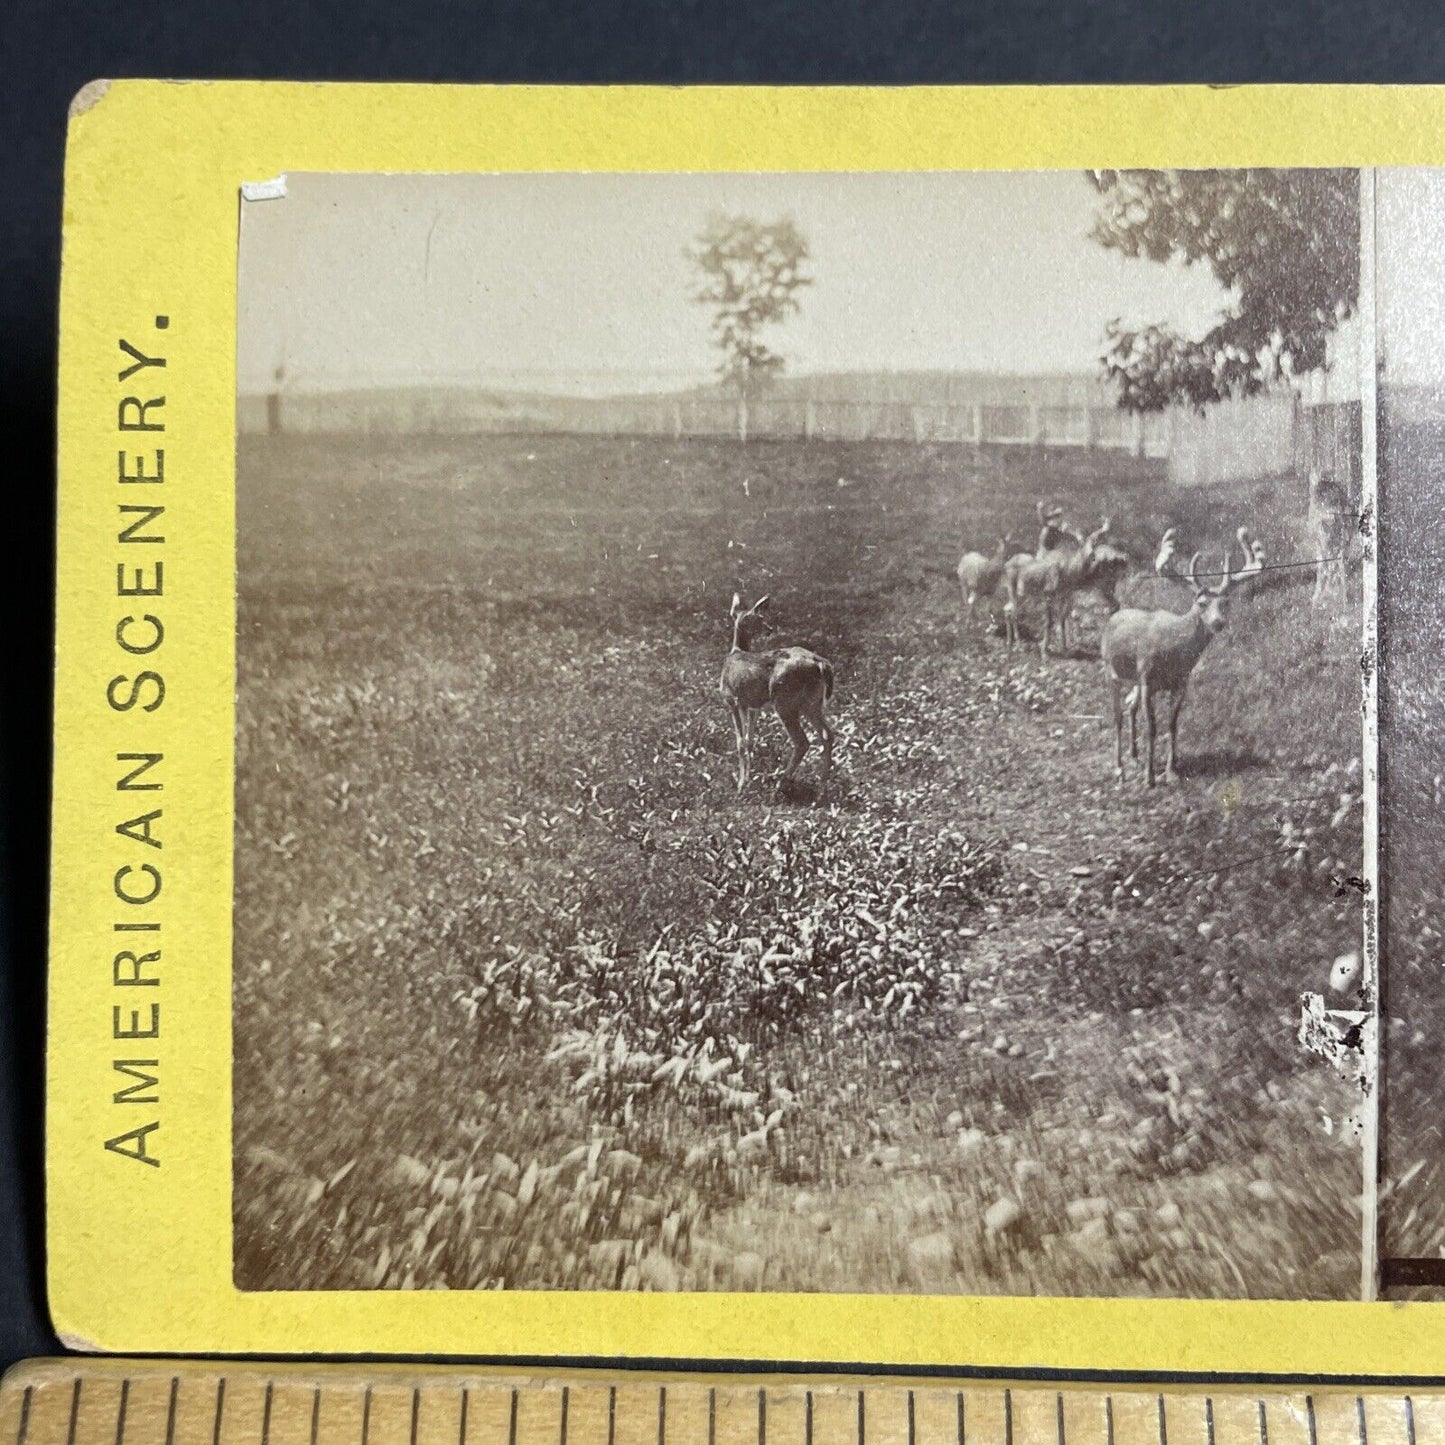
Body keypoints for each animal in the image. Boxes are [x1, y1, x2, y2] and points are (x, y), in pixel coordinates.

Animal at [719, 595, 838, 803]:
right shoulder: (753, 706)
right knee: (827, 734)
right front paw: (748, 778)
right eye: (758, 619)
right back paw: (821, 792)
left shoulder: (731, 699)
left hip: (785, 701)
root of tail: (821, 664)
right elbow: (750, 740)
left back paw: (780, 786)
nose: (769, 629)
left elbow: (740, 743)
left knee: (802, 741)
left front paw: (741, 786)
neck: (736, 651)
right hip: (812, 703)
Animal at [1103, 525, 1265, 786]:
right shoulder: (1147, 677)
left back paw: (1134, 756)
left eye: (1225, 602)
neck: (1174, 651)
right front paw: (1150, 778)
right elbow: (1152, 727)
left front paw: (1171, 772)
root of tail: (1114, 616)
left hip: (1135, 680)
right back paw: (1119, 768)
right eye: (1201, 603)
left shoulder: (1180, 682)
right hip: (1111, 670)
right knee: (1117, 714)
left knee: (1130, 706)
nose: (1218, 622)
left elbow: (1172, 724)